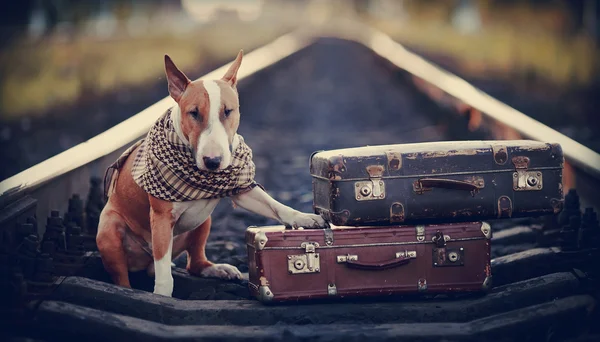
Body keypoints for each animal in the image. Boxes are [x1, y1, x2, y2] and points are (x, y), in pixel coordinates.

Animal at [97, 50, 328, 296]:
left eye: (228, 111)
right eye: (194, 113)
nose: (213, 162)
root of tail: (143, 263)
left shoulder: (240, 189)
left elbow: (275, 205)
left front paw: (306, 218)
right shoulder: (161, 217)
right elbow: (164, 274)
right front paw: (162, 296)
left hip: (203, 221)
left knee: (194, 262)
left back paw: (218, 269)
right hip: (108, 230)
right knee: (124, 275)